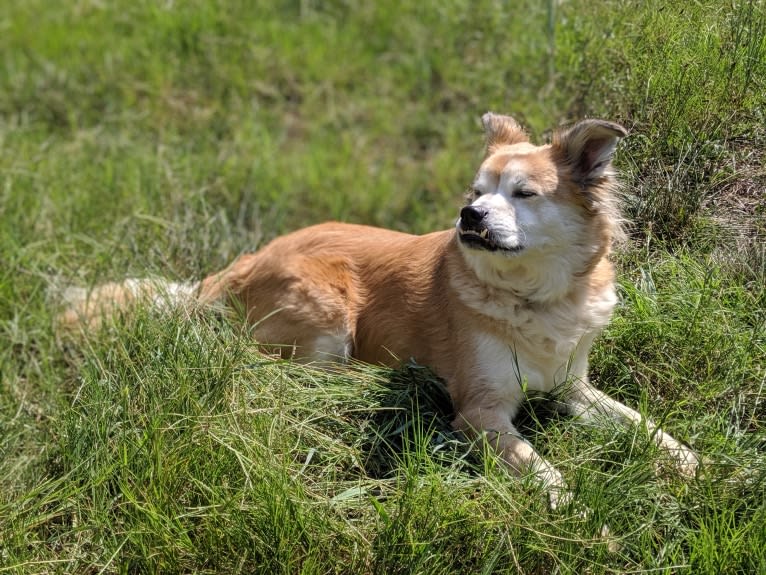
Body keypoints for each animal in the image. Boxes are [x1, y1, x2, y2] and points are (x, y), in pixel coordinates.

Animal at [60, 112, 700, 508]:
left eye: (524, 194)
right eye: (475, 193)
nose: (469, 217)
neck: (535, 297)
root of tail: (235, 267)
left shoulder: (574, 388)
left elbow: (640, 424)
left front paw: (688, 463)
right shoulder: (480, 413)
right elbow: (537, 460)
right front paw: (570, 502)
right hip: (329, 313)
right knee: (288, 375)